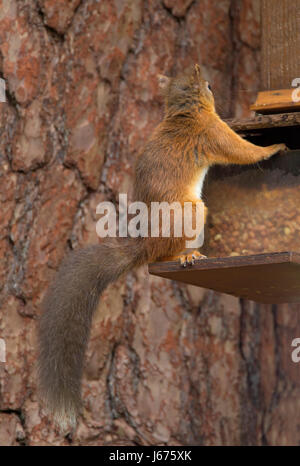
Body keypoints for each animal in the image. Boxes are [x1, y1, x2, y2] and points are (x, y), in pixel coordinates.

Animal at [38, 64, 288, 430]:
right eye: (209, 86)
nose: (214, 84)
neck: (183, 112)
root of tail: (146, 246)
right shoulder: (212, 131)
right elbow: (240, 150)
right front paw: (275, 147)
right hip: (191, 211)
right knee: (164, 255)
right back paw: (188, 255)